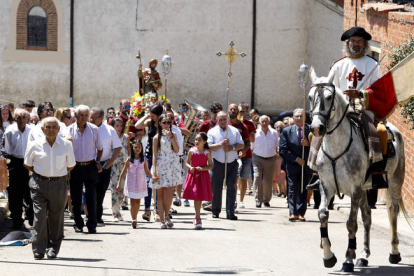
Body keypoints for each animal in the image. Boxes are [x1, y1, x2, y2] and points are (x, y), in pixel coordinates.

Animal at [308, 70, 408, 272]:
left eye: (329, 97)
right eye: (309, 97)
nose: (316, 127)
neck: (337, 149)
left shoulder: (354, 189)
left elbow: (351, 223)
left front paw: (347, 260)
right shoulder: (326, 187)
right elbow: (323, 214)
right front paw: (329, 255)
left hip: (395, 180)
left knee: (393, 210)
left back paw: (394, 252)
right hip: (365, 189)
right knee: (367, 217)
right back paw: (363, 255)